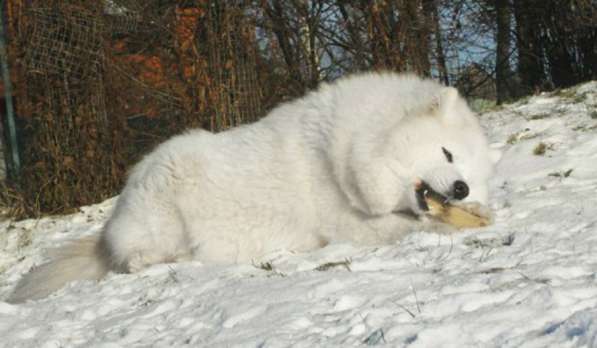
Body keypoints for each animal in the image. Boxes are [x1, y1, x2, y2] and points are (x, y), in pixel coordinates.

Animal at [8, 72, 498, 302]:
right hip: (166, 204)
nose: (460, 189)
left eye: (470, 177)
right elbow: (414, 226)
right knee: (134, 259)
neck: (350, 149)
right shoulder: (350, 225)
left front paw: (477, 214)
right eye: (447, 154)